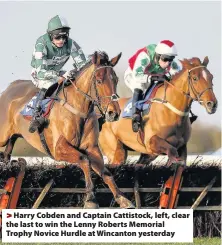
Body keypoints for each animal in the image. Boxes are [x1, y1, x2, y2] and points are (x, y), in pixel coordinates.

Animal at [0, 51, 134, 209]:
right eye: (99, 80)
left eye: (116, 80)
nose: (114, 113)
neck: (78, 110)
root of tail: (9, 88)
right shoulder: (58, 149)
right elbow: (84, 160)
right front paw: (90, 199)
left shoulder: (92, 148)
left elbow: (106, 173)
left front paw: (123, 199)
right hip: (2, 136)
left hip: (11, 137)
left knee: (7, 152)